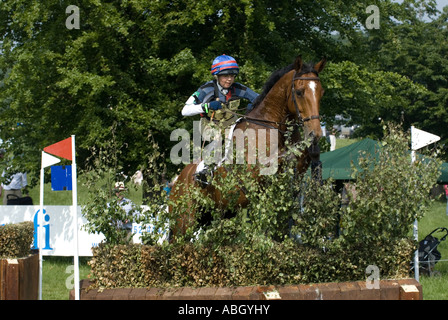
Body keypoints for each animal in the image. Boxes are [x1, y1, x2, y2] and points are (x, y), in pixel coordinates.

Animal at [168, 55, 326, 240]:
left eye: (321, 93)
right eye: (300, 92)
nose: (315, 133)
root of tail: (177, 181)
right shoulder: (252, 172)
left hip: (217, 216)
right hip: (184, 221)